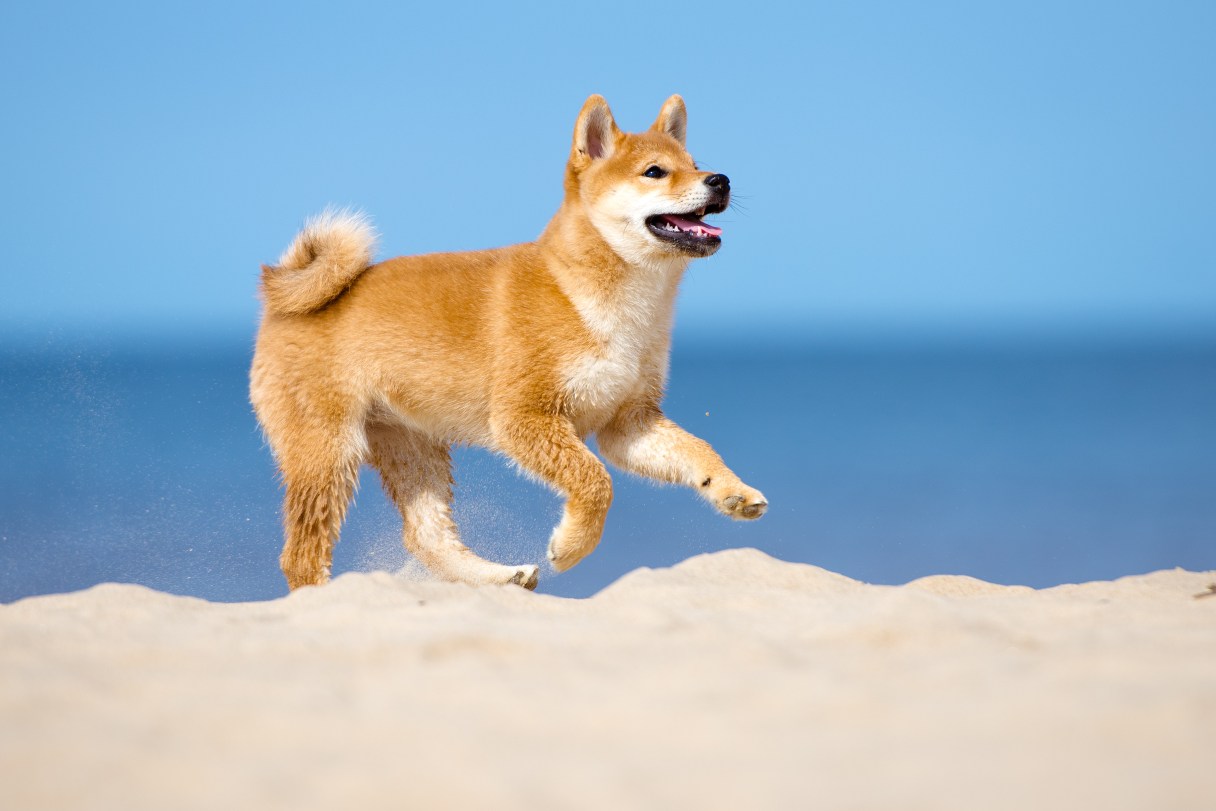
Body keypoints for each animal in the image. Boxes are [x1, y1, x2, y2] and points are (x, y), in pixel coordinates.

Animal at [250, 93, 763, 590]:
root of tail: (281, 306)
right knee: (301, 556)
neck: (599, 299)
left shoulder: (629, 422)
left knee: (426, 537)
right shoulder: (524, 416)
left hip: (412, 446)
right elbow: (596, 482)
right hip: (328, 451)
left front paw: (731, 490)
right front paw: (571, 546)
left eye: (695, 163)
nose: (721, 180)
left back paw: (498, 576)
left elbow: (697, 450)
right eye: (655, 171)